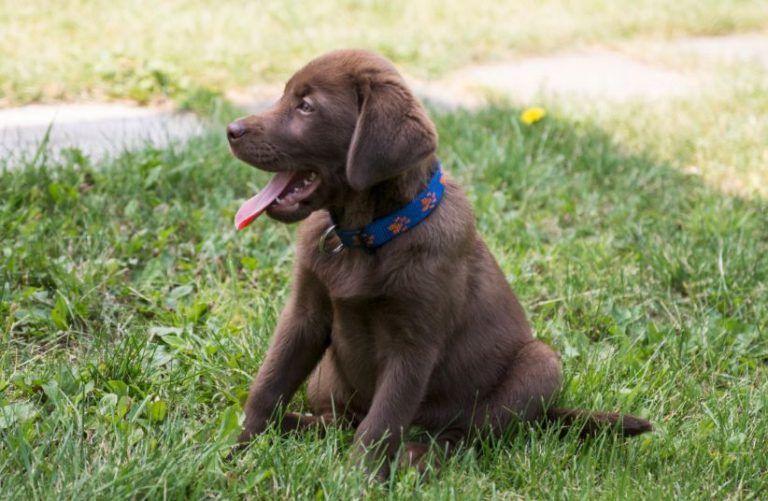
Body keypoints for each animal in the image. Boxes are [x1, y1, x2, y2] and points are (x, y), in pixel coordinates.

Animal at [226, 50, 648, 476]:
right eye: (285, 95)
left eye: (306, 106)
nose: (231, 129)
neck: (366, 238)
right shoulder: (305, 315)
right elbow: (269, 384)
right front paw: (237, 451)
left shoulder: (413, 344)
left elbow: (381, 423)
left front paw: (356, 479)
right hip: (324, 380)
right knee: (343, 420)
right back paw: (296, 425)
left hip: (539, 365)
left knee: (467, 436)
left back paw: (418, 454)